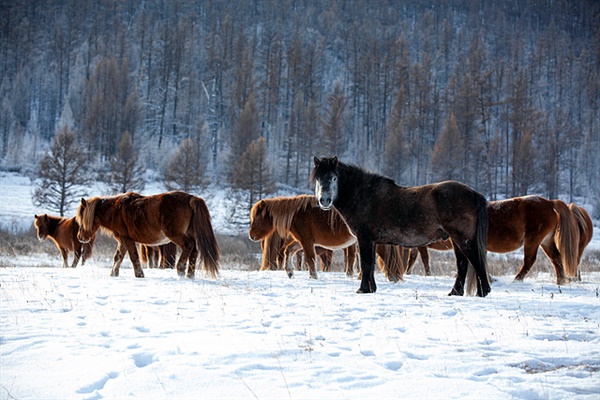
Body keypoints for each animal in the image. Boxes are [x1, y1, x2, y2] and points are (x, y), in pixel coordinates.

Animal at [75, 191, 220, 278]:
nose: (80, 238)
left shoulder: (127, 239)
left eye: (81, 219)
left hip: (175, 235)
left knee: (188, 246)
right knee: (194, 250)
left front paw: (139, 274)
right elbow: (118, 257)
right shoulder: (122, 240)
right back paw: (190, 275)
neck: (116, 210)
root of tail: (191, 198)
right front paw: (113, 273)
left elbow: (133, 256)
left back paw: (180, 269)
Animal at [312, 156, 490, 296]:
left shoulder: (364, 238)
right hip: (456, 240)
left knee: (476, 261)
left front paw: (363, 289)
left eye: (334, 178)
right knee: (462, 264)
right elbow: (371, 264)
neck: (363, 195)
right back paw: (455, 292)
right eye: (318, 179)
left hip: (463, 239)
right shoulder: (372, 241)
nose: (325, 200)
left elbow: (366, 263)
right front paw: (371, 289)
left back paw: (482, 292)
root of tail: (473, 193)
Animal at [404, 196, 592, 284]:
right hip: (546, 242)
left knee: (530, 261)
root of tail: (549, 202)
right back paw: (561, 281)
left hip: (533, 240)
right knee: (557, 260)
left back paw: (517, 280)